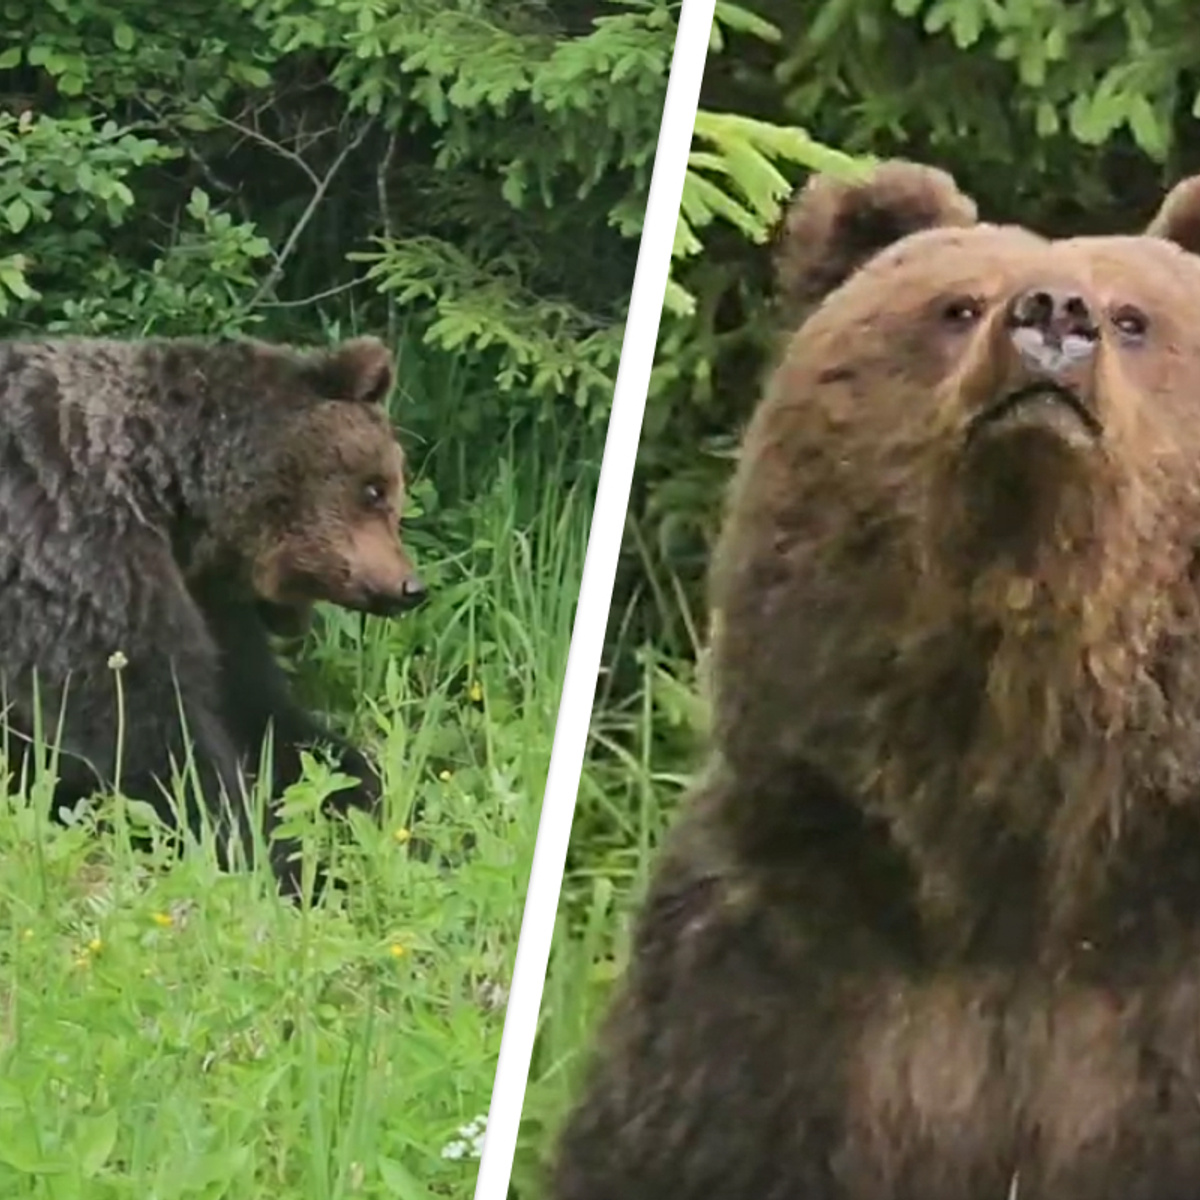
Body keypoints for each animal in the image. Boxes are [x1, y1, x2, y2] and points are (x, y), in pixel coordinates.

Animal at [0, 333, 427, 897]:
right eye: (375, 488)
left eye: (391, 488)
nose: (410, 587)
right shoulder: (80, 560)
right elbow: (151, 733)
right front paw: (285, 864)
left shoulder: (212, 604)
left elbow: (258, 707)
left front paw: (377, 802)